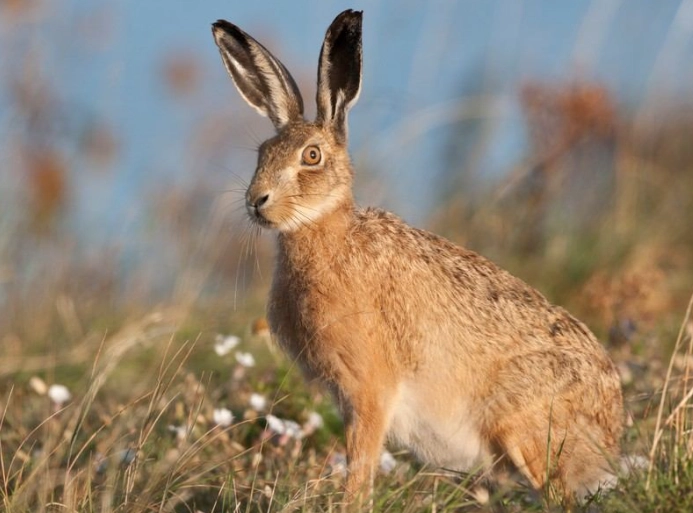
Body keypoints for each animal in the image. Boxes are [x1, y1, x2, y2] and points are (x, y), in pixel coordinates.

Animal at [211, 9, 624, 504]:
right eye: (262, 153)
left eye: (311, 156)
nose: (257, 201)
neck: (326, 232)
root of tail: (609, 433)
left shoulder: (370, 389)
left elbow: (361, 467)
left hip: (523, 425)